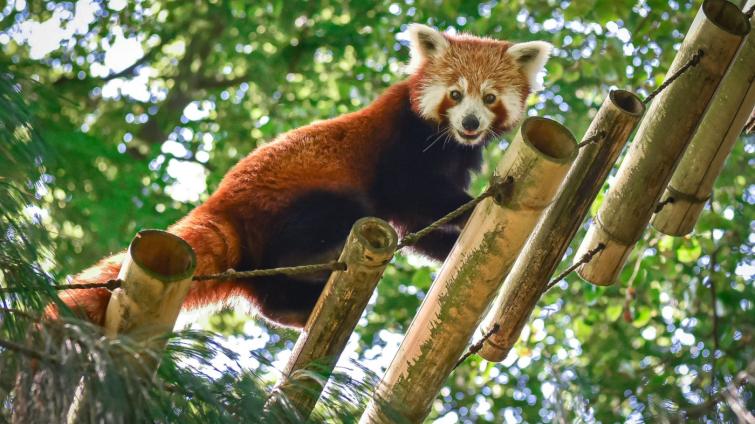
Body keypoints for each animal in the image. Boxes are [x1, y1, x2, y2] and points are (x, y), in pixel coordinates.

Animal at [51, 24, 548, 328]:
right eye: (455, 94)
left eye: (488, 98)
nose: (470, 122)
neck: (446, 141)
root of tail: (223, 204)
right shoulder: (400, 147)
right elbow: (414, 196)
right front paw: (471, 209)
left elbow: (418, 223)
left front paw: (448, 246)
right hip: (299, 198)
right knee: (334, 220)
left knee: (265, 291)